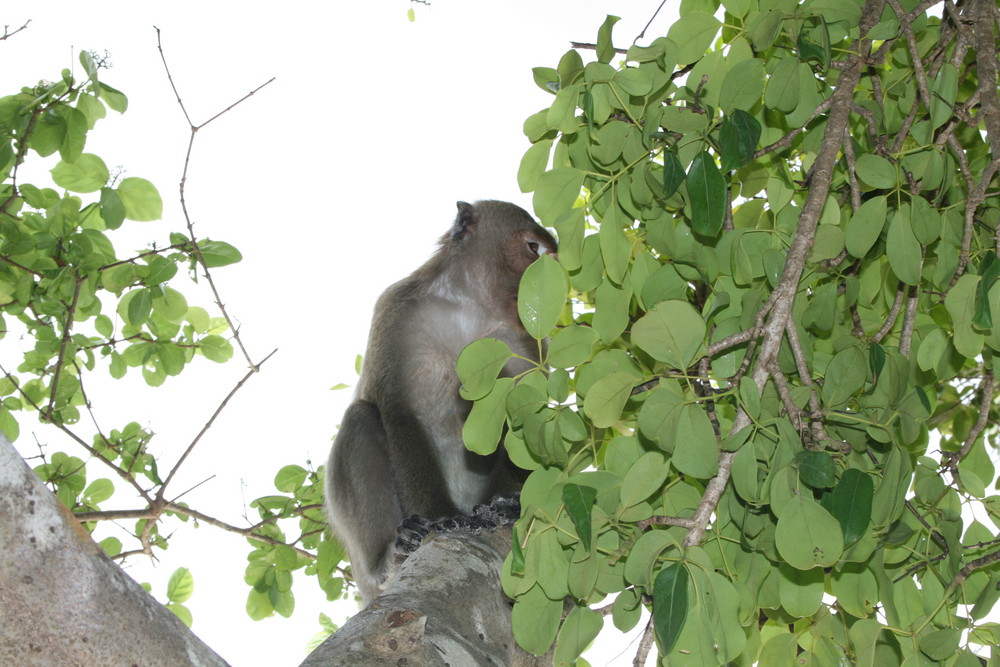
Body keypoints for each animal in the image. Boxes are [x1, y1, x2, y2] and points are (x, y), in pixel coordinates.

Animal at [328, 198, 564, 604]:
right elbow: (398, 412)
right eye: (533, 248)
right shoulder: (396, 310)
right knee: (361, 417)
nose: (545, 281)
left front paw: (507, 503)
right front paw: (440, 516)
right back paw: (385, 561)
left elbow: (522, 425)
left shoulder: (526, 341)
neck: (470, 304)